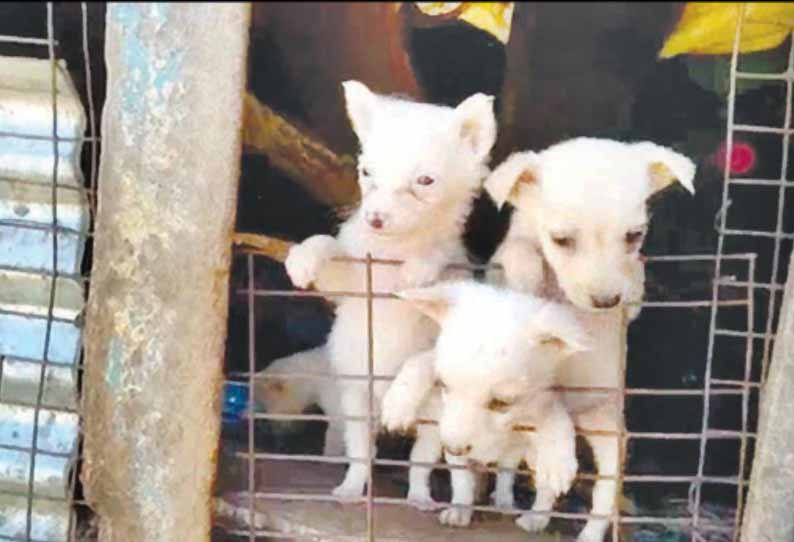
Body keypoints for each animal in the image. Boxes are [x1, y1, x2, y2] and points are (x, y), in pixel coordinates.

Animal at [284, 82, 496, 506]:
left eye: (425, 182)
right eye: (367, 173)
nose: (375, 218)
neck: (392, 253)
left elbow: (419, 358)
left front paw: (421, 267)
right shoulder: (350, 282)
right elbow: (327, 247)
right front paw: (303, 257)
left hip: (433, 421)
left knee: (422, 462)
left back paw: (421, 497)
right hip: (356, 404)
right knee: (361, 454)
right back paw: (351, 489)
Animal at [380, 284, 584, 532]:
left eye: (502, 403)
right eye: (443, 385)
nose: (454, 449)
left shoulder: (543, 399)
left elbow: (557, 419)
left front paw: (558, 462)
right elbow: (420, 361)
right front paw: (397, 403)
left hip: (523, 453)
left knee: (513, 478)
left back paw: (526, 514)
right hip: (433, 437)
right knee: (421, 461)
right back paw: (421, 497)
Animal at [476, 137, 692, 542]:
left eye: (634, 235)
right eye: (561, 240)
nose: (606, 301)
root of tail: (576, 416)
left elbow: (636, 278)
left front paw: (634, 283)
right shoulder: (500, 260)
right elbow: (520, 252)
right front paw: (528, 276)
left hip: (609, 435)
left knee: (602, 496)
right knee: (547, 473)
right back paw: (536, 515)